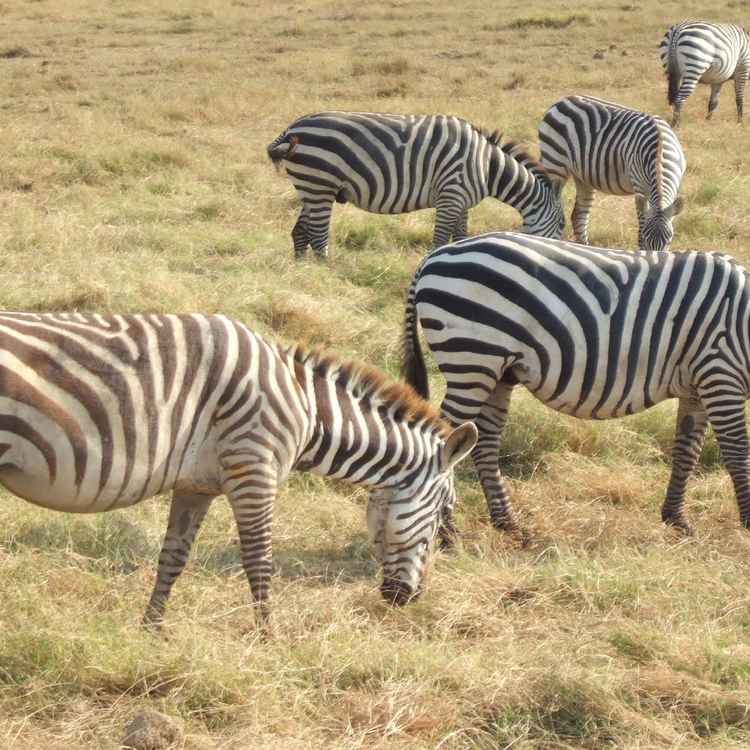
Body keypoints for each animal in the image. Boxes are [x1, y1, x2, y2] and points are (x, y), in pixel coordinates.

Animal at [0, 312, 477, 626]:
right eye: (442, 518)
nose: (408, 599)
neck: (306, 409)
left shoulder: (196, 484)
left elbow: (173, 557)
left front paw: (152, 631)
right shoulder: (255, 470)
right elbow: (259, 559)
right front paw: (269, 640)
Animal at [267, 111, 564, 258]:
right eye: (562, 225)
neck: (486, 167)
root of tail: (292, 129)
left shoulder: (462, 201)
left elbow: (460, 236)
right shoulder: (451, 195)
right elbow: (440, 240)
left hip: (312, 187)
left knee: (300, 232)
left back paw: (304, 272)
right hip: (320, 184)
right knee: (317, 237)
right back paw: (328, 272)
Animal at [402, 231, 750, 537]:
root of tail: (435, 255)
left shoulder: (698, 385)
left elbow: (686, 452)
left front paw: (676, 520)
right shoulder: (720, 374)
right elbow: (737, 453)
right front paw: (747, 524)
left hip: (496, 371)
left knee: (484, 440)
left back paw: (507, 523)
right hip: (472, 359)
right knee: (448, 441)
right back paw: (447, 533)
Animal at [538, 95, 686, 252]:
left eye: (669, 240)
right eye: (647, 239)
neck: (659, 153)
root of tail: (562, 100)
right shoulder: (639, 188)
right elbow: (641, 225)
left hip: (582, 176)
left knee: (579, 216)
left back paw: (586, 247)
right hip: (554, 163)